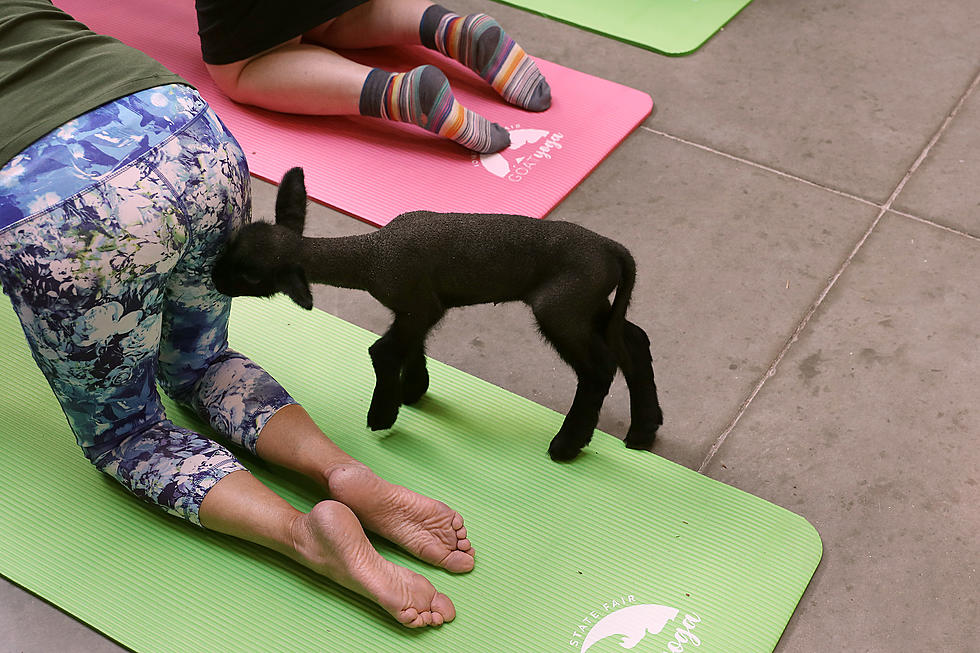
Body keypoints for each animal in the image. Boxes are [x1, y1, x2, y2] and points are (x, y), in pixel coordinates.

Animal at [211, 166, 664, 460]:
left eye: (251, 275)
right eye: (236, 240)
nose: (215, 277)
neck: (369, 257)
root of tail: (614, 250)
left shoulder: (416, 301)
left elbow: (384, 351)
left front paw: (384, 413)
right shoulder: (420, 306)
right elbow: (411, 345)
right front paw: (413, 389)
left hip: (562, 305)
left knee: (599, 368)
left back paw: (568, 444)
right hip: (591, 300)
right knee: (633, 341)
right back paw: (643, 430)